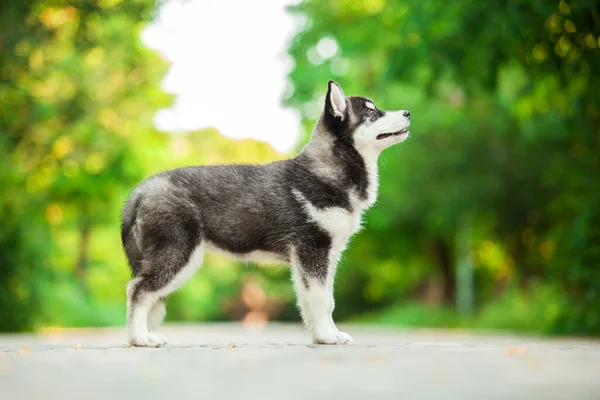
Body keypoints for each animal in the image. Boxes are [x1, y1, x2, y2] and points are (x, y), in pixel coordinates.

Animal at [122, 79, 412, 346]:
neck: (326, 172)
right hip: (179, 255)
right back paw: (140, 338)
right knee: (137, 290)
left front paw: (324, 334)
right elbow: (320, 300)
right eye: (372, 113)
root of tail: (143, 187)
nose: (408, 112)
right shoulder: (312, 250)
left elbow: (322, 300)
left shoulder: (324, 256)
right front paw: (328, 337)